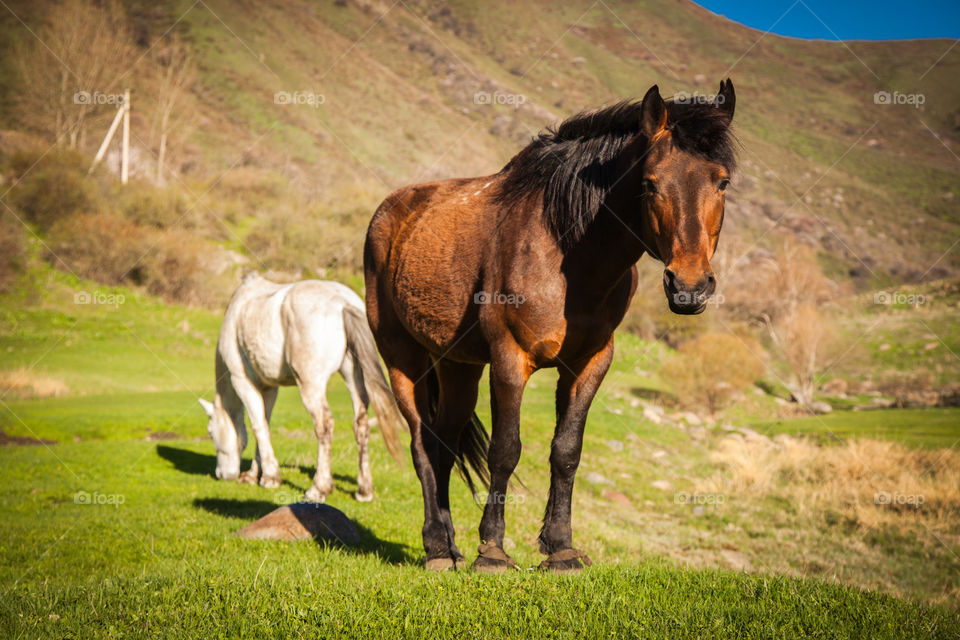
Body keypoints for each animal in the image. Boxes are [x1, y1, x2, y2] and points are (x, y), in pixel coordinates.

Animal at [197, 272, 406, 502]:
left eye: (210, 433)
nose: (221, 474)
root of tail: (344, 303)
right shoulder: (269, 388)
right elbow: (265, 424)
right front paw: (255, 474)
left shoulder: (242, 381)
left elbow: (258, 426)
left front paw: (270, 477)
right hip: (354, 377)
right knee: (361, 424)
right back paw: (364, 490)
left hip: (311, 385)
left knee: (324, 425)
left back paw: (319, 488)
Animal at [366, 81, 736, 576]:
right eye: (650, 183)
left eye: (722, 182)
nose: (689, 286)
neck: (567, 255)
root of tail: (392, 210)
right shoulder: (510, 358)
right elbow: (506, 450)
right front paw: (493, 552)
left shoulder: (590, 363)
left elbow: (566, 452)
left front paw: (561, 548)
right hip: (402, 361)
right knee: (422, 445)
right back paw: (438, 550)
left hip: (458, 367)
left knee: (443, 444)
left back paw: (450, 546)